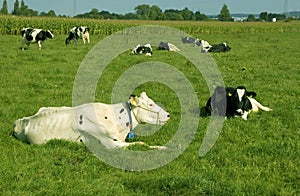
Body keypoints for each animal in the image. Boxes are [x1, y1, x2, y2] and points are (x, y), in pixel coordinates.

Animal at [13, 92, 169, 149]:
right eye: (150, 104)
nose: (168, 115)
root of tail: (21, 121)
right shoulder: (110, 144)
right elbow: (141, 144)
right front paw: (163, 148)